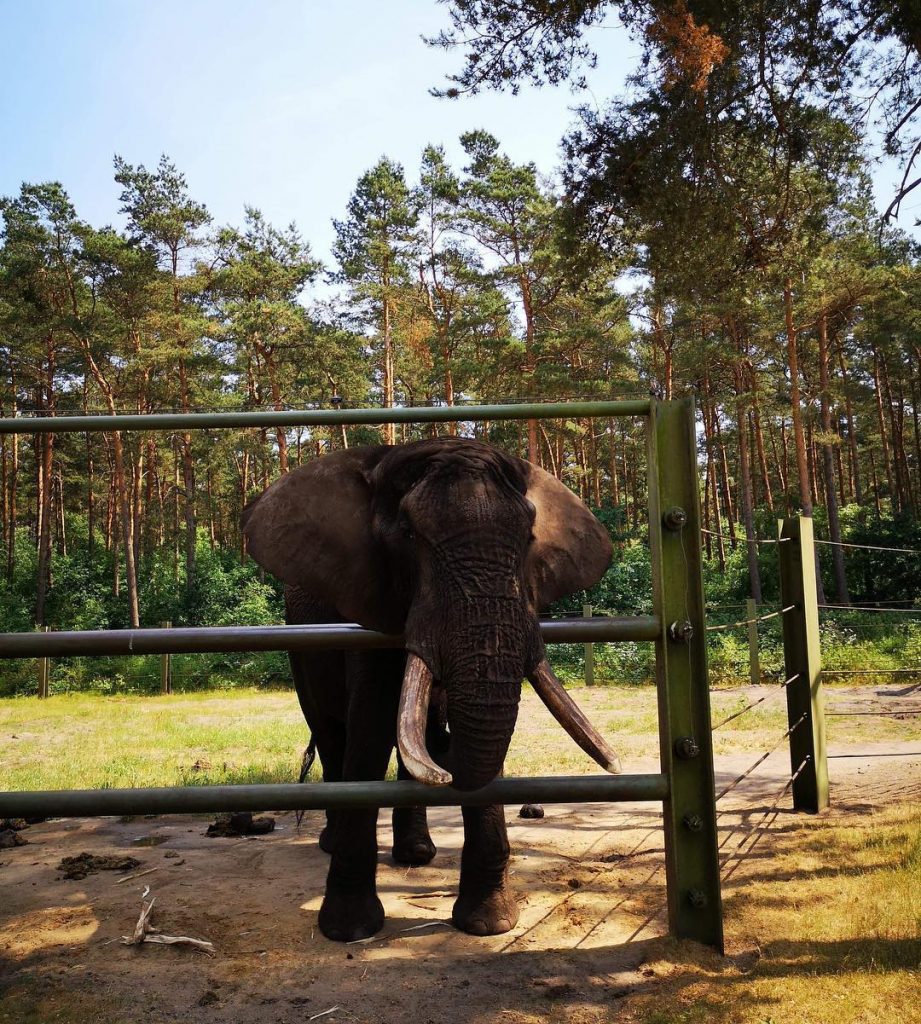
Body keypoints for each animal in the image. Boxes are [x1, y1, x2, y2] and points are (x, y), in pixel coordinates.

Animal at [242, 437, 620, 941]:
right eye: (408, 537)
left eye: (527, 541)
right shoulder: (371, 602)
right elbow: (370, 732)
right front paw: (350, 930)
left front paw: (489, 925)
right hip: (300, 644)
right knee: (332, 732)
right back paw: (332, 841)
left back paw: (417, 853)